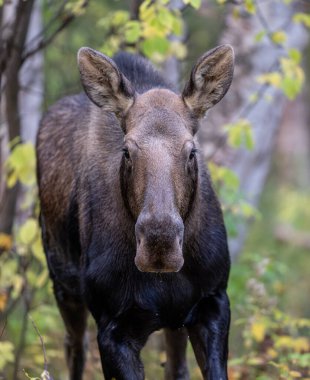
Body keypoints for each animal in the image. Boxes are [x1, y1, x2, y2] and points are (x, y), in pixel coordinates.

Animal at [36, 45, 234, 380]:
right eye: (127, 150)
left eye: (191, 151)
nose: (159, 244)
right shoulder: (112, 326)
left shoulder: (214, 301)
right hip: (62, 283)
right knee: (74, 348)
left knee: (176, 367)